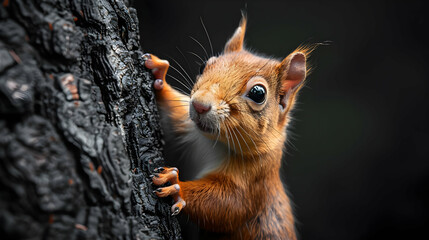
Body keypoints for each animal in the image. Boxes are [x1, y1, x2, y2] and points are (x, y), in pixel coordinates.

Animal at [142, 15, 312, 239]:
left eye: (258, 93)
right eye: (203, 66)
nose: (199, 105)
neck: (214, 142)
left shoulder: (255, 178)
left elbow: (229, 206)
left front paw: (177, 186)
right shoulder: (187, 127)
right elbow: (170, 115)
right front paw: (158, 73)